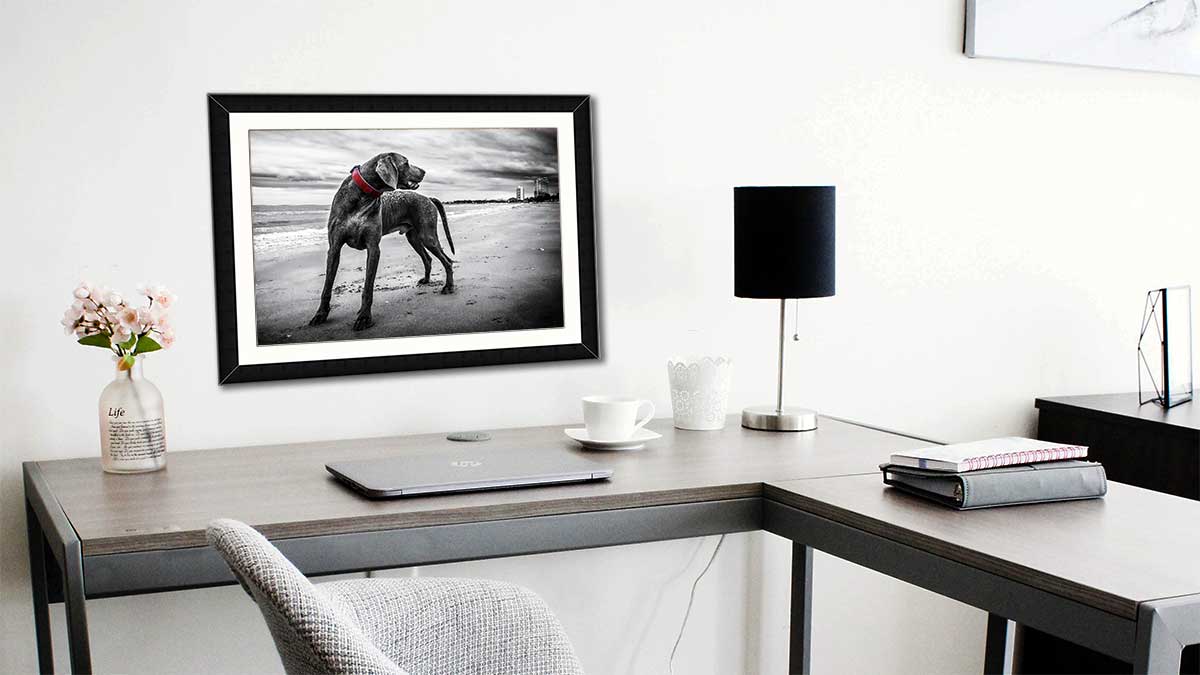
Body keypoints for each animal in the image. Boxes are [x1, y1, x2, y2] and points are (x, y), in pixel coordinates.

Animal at [309, 153, 453, 331]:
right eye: (406, 162)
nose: (424, 171)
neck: (362, 196)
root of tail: (428, 198)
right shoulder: (334, 248)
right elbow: (327, 286)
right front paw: (320, 314)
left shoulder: (373, 249)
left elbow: (368, 287)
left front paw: (364, 317)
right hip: (413, 237)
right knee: (428, 258)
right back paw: (426, 280)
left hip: (428, 236)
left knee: (447, 261)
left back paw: (448, 286)